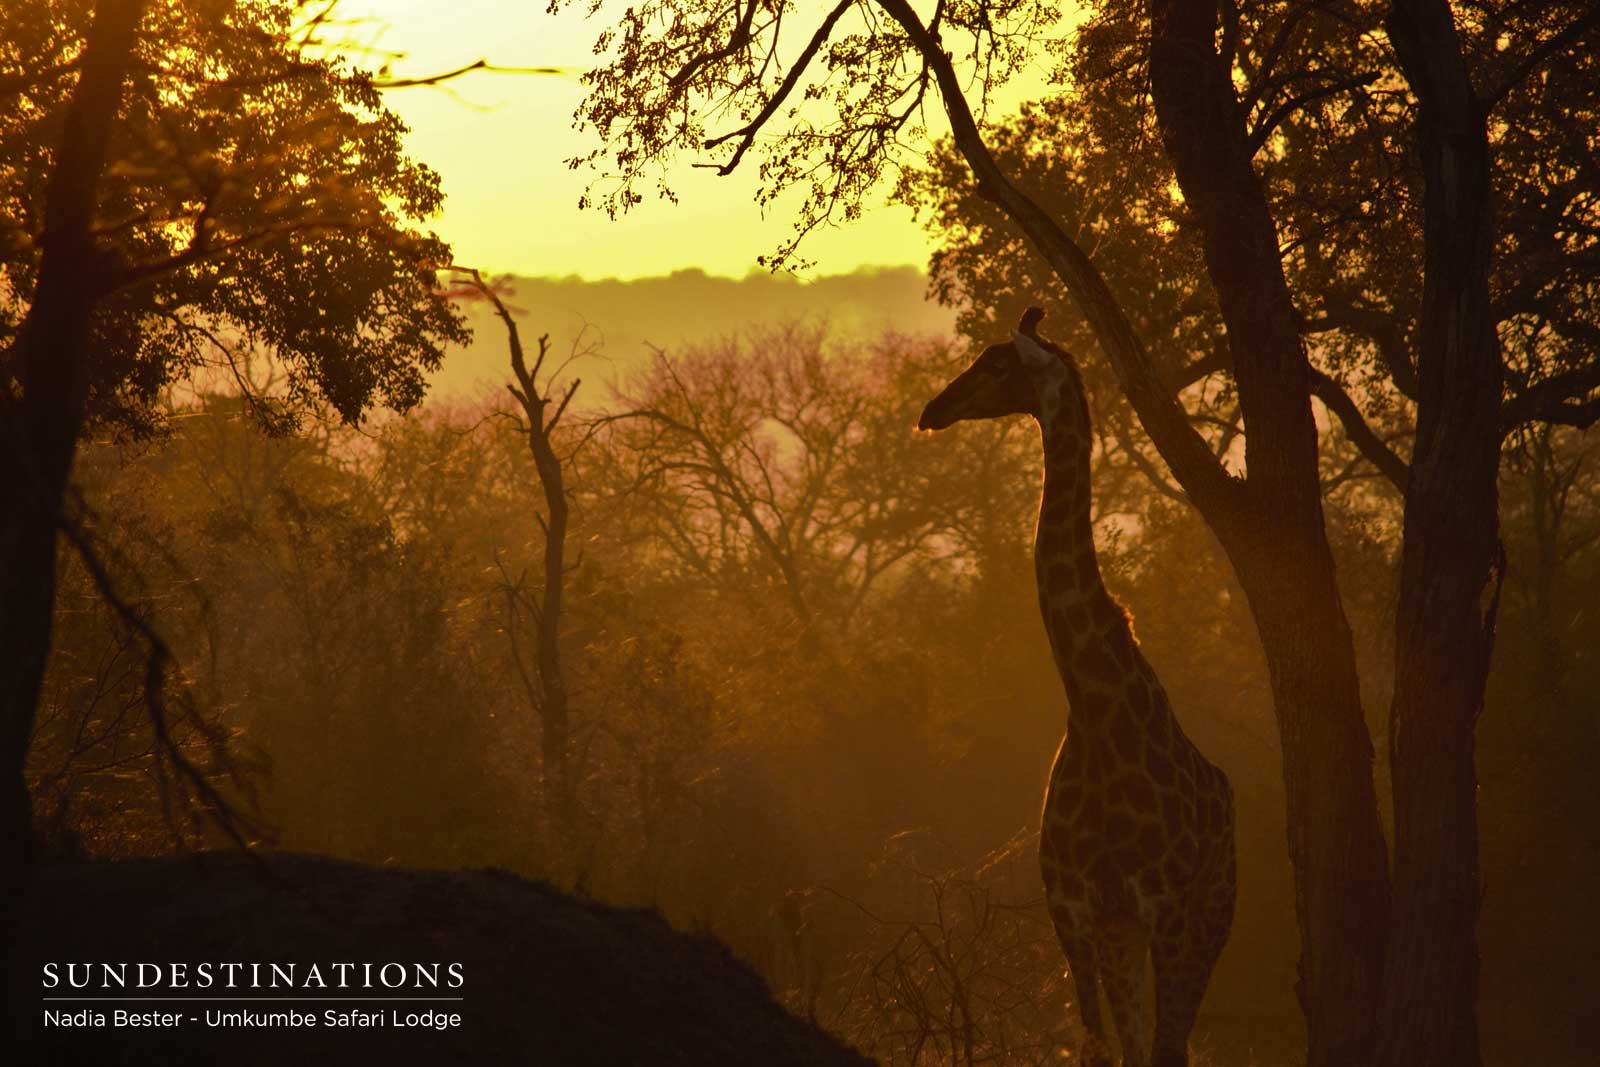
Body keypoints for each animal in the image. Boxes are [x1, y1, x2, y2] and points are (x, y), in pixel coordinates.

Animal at [917, 307, 1235, 1067]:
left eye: (997, 363)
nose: (931, 409)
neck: (1095, 706)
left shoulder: (1163, 907)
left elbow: (1161, 1049)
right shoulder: (1076, 912)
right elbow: (1098, 1048)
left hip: (1210, 917)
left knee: (1175, 1040)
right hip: (1125, 937)